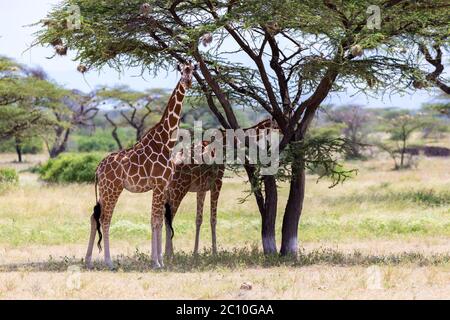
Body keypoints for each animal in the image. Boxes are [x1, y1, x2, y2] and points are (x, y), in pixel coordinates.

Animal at [85, 61, 197, 268]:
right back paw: (109, 262)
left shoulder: (163, 186)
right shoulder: (159, 185)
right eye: (181, 72)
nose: (188, 82)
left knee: (94, 217)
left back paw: (88, 261)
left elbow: (158, 220)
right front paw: (156, 262)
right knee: (105, 219)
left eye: (193, 71)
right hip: (113, 188)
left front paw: (160, 260)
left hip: (105, 190)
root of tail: (98, 169)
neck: (166, 142)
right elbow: (154, 221)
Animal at [165, 119, 278, 256]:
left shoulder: (202, 189)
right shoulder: (217, 183)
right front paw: (215, 253)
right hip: (179, 188)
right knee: (169, 218)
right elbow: (213, 219)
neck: (224, 142)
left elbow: (198, 219)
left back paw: (166, 253)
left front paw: (195, 253)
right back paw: (168, 254)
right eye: (276, 126)